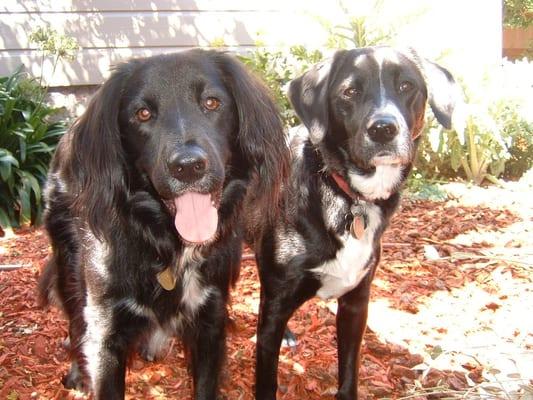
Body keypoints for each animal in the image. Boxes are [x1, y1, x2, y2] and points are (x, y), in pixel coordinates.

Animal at [38, 50, 288, 400]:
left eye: (212, 103)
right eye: (142, 114)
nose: (188, 167)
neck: (163, 241)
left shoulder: (211, 320)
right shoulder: (106, 333)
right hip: (68, 262)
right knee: (75, 319)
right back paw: (77, 372)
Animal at [249, 47, 462, 400]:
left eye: (406, 86)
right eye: (349, 92)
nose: (383, 129)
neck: (347, 195)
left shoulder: (355, 303)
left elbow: (349, 369)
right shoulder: (277, 307)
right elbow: (266, 380)